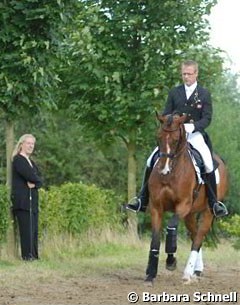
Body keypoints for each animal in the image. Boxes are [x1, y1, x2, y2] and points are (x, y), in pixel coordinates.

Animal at [145, 113, 228, 284]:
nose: (163, 169)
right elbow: (155, 239)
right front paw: (151, 272)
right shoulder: (156, 207)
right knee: (195, 234)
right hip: (190, 214)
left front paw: (171, 262)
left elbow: (171, 229)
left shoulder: (182, 206)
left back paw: (188, 273)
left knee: (199, 237)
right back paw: (197, 270)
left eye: (176, 139)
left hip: (207, 212)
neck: (171, 174)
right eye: (158, 137)